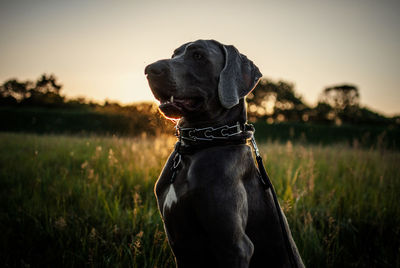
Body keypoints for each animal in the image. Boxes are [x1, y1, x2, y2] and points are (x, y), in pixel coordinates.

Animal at [144, 39, 304, 268]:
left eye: (198, 56)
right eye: (174, 54)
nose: (150, 69)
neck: (196, 147)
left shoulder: (234, 246)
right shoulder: (178, 242)